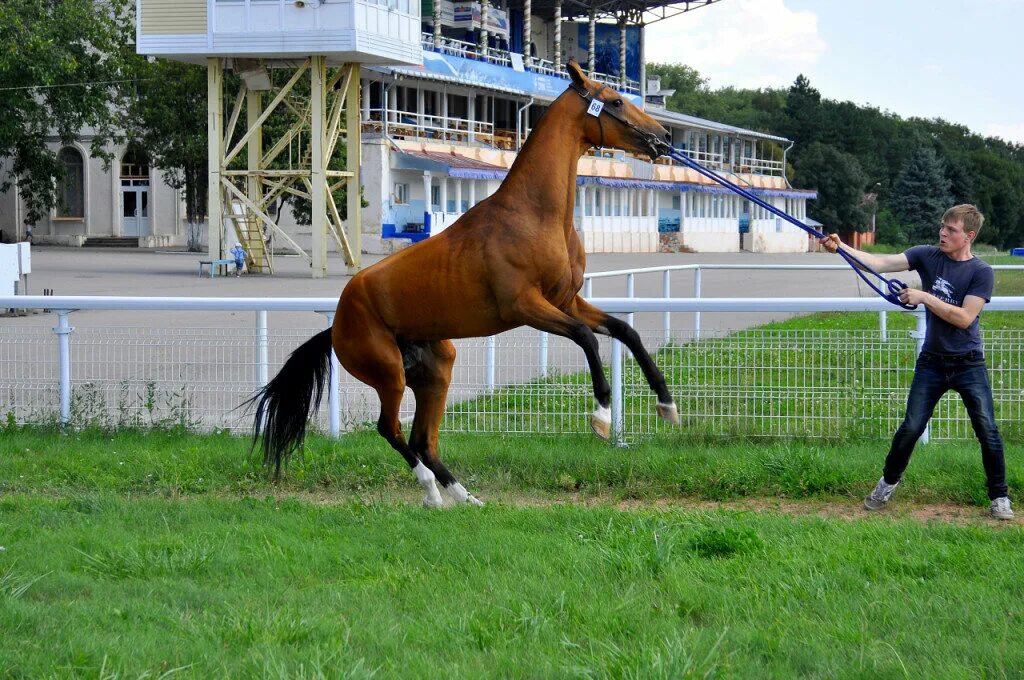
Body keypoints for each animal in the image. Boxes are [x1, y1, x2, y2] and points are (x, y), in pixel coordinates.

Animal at [248, 61, 679, 507]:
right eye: (615, 101)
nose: (664, 138)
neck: (534, 215)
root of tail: (336, 323)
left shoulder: (566, 301)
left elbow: (624, 331)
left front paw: (667, 406)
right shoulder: (526, 306)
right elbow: (587, 338)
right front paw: (602, 417)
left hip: (436, 370)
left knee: (423, 440)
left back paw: (463, 497)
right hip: (389, 375)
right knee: (391, 429)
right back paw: (431, 492)